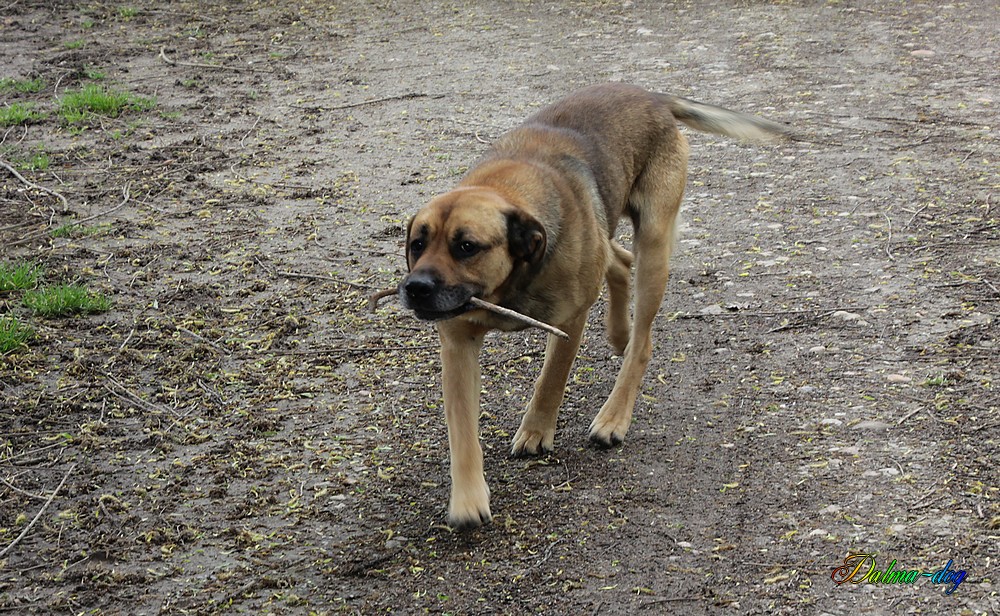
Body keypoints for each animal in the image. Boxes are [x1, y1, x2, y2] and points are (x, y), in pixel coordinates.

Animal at [398, 82, 788, 528]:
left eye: (466, 247)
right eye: (418, 244)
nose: (415, 287)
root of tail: (652, 96)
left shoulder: (569, 320)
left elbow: (550, 380)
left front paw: (536, 431)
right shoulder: (458, 340)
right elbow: (462, 427)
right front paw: (467, 498)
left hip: (654, 246)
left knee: (642, 339)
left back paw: (614, 415)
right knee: (618, 261)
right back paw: (618, 333)